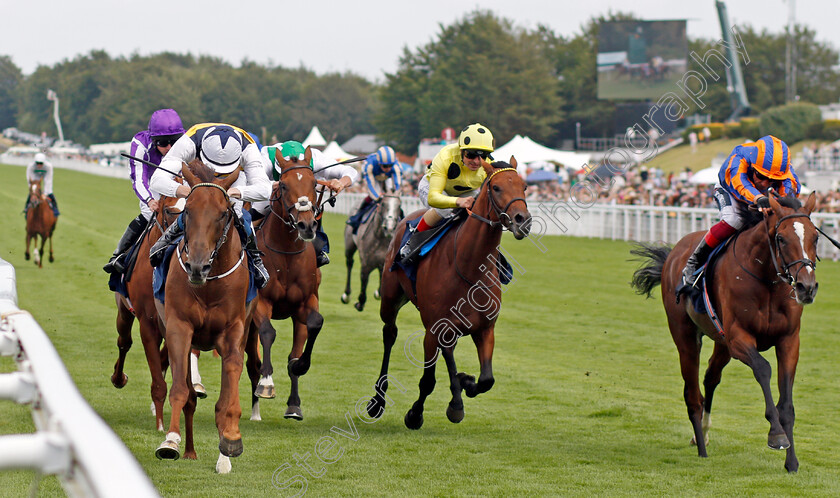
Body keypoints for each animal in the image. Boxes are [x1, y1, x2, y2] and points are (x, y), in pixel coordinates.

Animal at [110, 193, 183, 430]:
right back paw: (118, 377)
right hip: (123, 310)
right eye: (169, 210)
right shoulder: (148, 322)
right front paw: (160, 424)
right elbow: (158, 382)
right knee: (124, 342)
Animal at [153, 161, 260, 472]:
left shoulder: (233, 331)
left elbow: (228, 393)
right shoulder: (179, 327)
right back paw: (188, 450)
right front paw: (170, 441)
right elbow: (180, 390)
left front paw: (231, 440)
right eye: (188, 210)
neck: (210, 284)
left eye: (223, 213)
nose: (197, 266)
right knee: (189, 395)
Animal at [248, 147, 324, 420]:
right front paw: (267, 383)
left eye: (314, 182)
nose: (306, 225)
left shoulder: (305, 302)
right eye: (283, 184)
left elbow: (315, 323)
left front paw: (299, 366)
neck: (286, 254)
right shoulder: (261, 302)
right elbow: (268, 333)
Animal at [370, 159, 532, 428]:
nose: (523, 221)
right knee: (389, 334)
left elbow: (487, 380)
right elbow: (428, 380)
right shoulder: (433, 329)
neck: (469, 268)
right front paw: (416, 414)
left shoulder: (485, 329)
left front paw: (465, 382)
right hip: (391, 299)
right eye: (496, 187)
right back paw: (377, 399)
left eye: (525, 186)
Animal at [632, 193, 816, 472]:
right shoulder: (739, 337)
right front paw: (776, 435)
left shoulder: (788, 341)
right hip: (686, 337)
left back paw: (703, 433)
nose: (807, 287)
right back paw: (702, 448)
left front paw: (792, 462)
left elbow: (786, 404)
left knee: (710, 377)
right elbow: (763, 369)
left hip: (721, 343)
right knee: (692, 395)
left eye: (815, 237)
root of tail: (674, 253)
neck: (766, 280)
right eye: (782, 238)